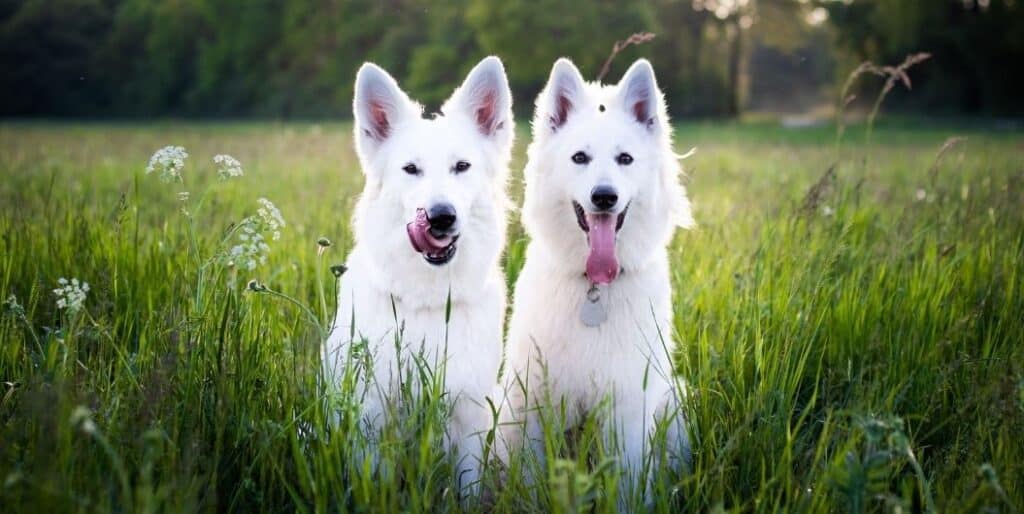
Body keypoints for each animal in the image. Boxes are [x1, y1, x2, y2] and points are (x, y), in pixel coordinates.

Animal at [323, 55, 516, 493]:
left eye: (461, 167)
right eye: (411, 169)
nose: (441, 217)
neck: (428, 302)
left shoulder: (469, 415)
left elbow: (466, 488)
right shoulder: (370, 418)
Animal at [499, 57, 692, 501]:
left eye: (625, 159)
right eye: (580, 158)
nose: (604, 197)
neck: (594, 290)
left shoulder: (629, 404)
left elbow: (627, 485)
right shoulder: (532, 400)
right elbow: (531, 479)